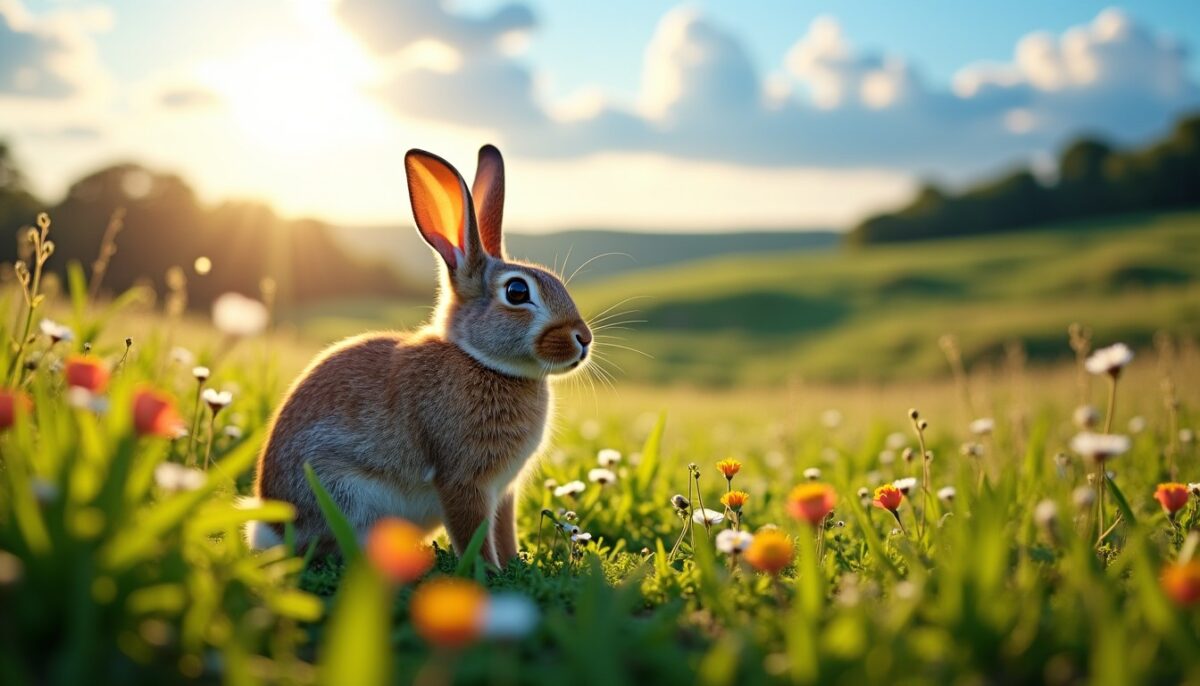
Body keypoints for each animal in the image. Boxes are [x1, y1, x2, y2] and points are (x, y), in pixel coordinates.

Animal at [246, 145, 592, 567]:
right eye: (516, 292)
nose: (583, 339)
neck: (480, 360)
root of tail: (271, 530)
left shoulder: (503, 491)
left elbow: (504, 530)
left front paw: (513, 563)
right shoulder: (463, 480)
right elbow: (473, 532)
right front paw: (489, 571)